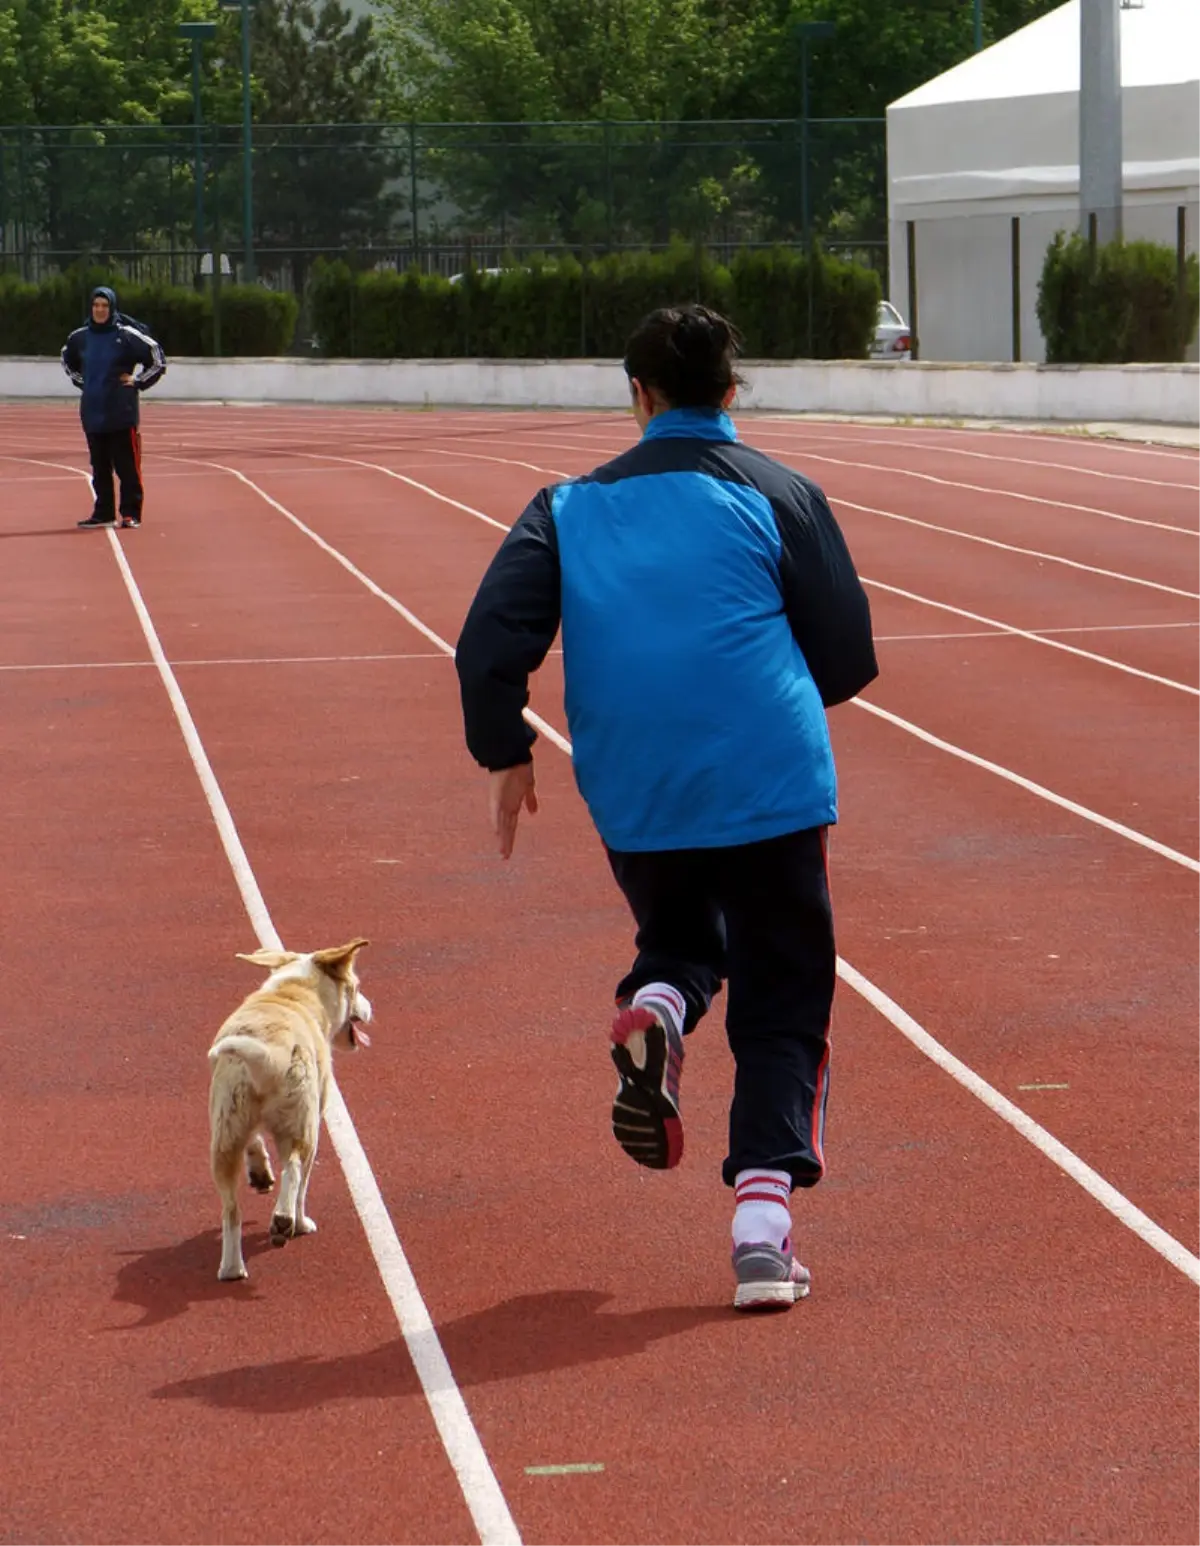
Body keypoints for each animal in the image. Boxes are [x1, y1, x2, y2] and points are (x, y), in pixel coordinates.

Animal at [208, 939, 372, 1280]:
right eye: (356, 987)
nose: (370, 1007)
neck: (293, 991)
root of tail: (269, 1056)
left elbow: (255, 1142)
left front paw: (260, 1173)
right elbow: (301, 1183)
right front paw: (299, 1221)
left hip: (225, 1131)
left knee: (231, 1210)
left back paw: (231, 1268)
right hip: (304, 1125)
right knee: (295, 1171)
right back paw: (287, 1222)